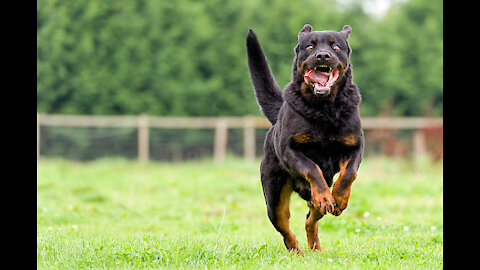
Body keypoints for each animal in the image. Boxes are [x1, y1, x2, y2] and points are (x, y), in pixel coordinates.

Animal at [248, 24, 364, 254]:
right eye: (310, 46)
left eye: (335, 47)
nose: (322, 55)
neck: (324, 107)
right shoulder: (290, 150)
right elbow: (312, 168)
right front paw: (326, 195)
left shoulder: (355, 146)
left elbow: (349, 173)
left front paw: (339, 198)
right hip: (274, 199)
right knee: (286, 230)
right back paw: (297, 252)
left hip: (310, 200)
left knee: (311, 219)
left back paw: (315, 246)